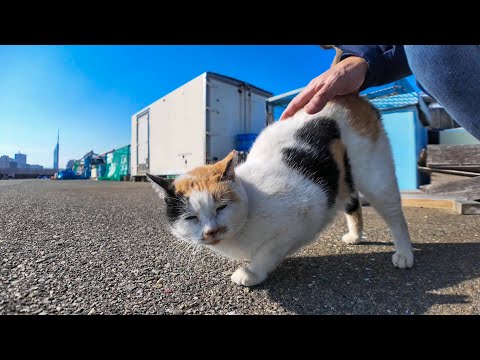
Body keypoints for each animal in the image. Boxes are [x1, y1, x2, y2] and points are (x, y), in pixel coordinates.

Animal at [148, 95, 414, 286]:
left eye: (221, 207)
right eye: (190, 218)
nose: (211, 231)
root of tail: (347, 95)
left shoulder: (298, 219)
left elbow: (268, 252)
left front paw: (251, 272)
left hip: (375, 175)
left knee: (396, 216)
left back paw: (404, 254)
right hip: (345, 177)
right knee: (353, 203)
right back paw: (355, 237)